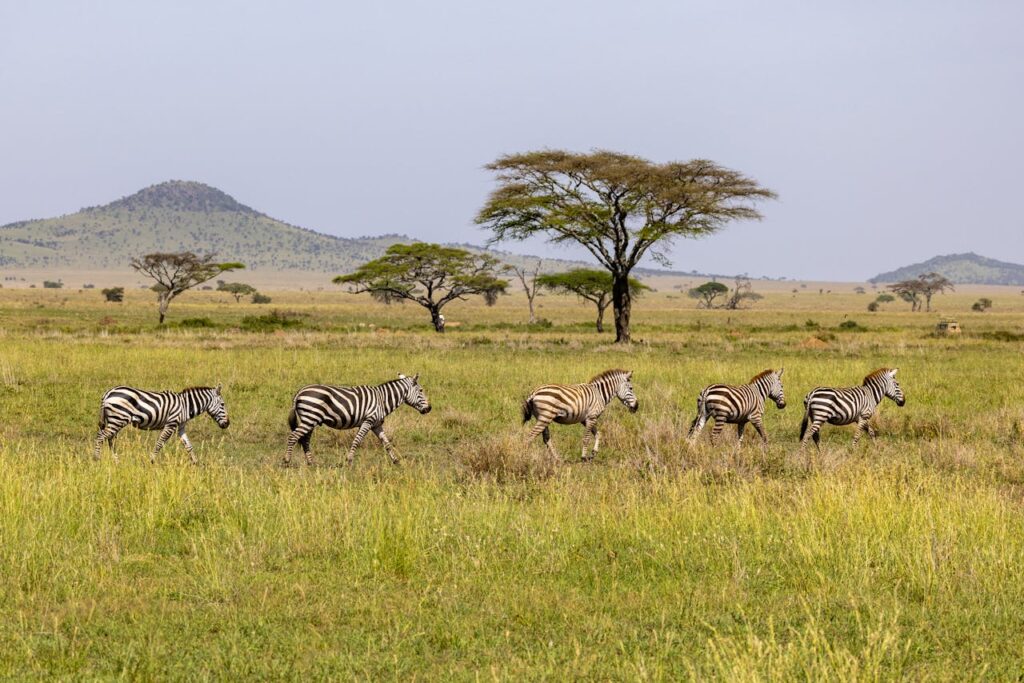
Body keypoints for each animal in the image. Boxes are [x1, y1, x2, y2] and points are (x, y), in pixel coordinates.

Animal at [93, 384, 229, 463]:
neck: (185, 405)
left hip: (114, 420)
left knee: (109, 439)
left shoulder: (180, 427)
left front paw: (196, 463)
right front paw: (151, 461)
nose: (227, 424)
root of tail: (108, 393)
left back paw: (116, 461)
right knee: (101, 437)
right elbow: (160, 443)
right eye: (223, 405)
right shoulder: (171, 424)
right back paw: (97, 459)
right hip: (118, 418)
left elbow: (188, 446)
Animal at [284, 374, 431, 466]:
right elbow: (357, 440)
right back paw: (286, 461)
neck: (382, 399)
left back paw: (311, 463)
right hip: (310, 419)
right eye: (421, 390)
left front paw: (396, 461)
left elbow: (386, 443)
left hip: (311, 420)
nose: (429, 408)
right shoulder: (368, 421)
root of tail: (299, 392)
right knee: (293, 436)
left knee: (305, 440)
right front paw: (349, 460)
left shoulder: (376, 425)